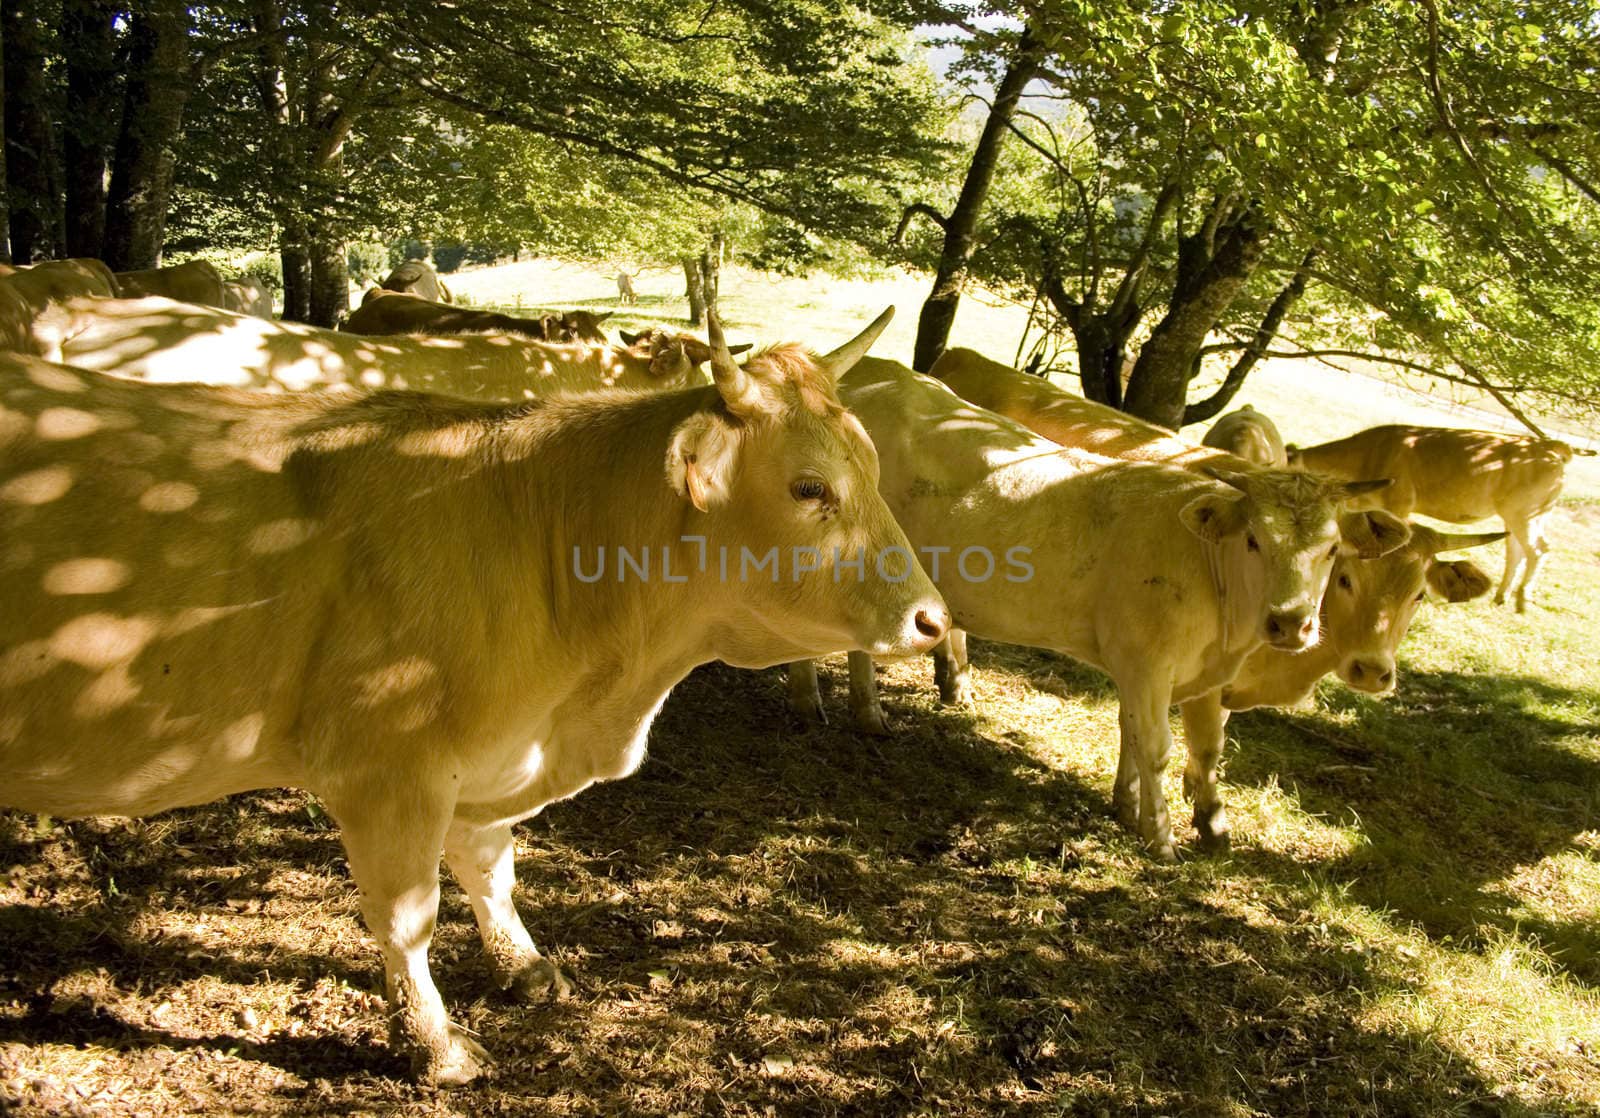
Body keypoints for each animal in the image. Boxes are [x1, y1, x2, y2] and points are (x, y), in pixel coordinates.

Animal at [0, 310, 947, 1081]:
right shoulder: (390, 771)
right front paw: (436, 1043)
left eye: (872, 467)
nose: (933, 620)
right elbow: (407, 917)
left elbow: (492, 870)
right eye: (809, 487)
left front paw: (525, 966)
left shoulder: (488, 756)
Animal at [787, 363, 1401, 863]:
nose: (1290, 622)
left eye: (1332, 552)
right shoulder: (1149, 664)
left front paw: (1126, 808)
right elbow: (1156, 747)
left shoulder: (1143, 668)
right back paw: (824, 703)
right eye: (1254, 539)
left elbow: (1136, 734)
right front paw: (1161, 838)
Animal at [1292, 425, 1593, 610]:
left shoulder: (1400, 506)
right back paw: (1500, 596)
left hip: (1526, 514)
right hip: (1519, 516)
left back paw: (1521, 600)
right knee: (1515, 550)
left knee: (1538, 549)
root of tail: (1550, 445)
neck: (1369, 455)